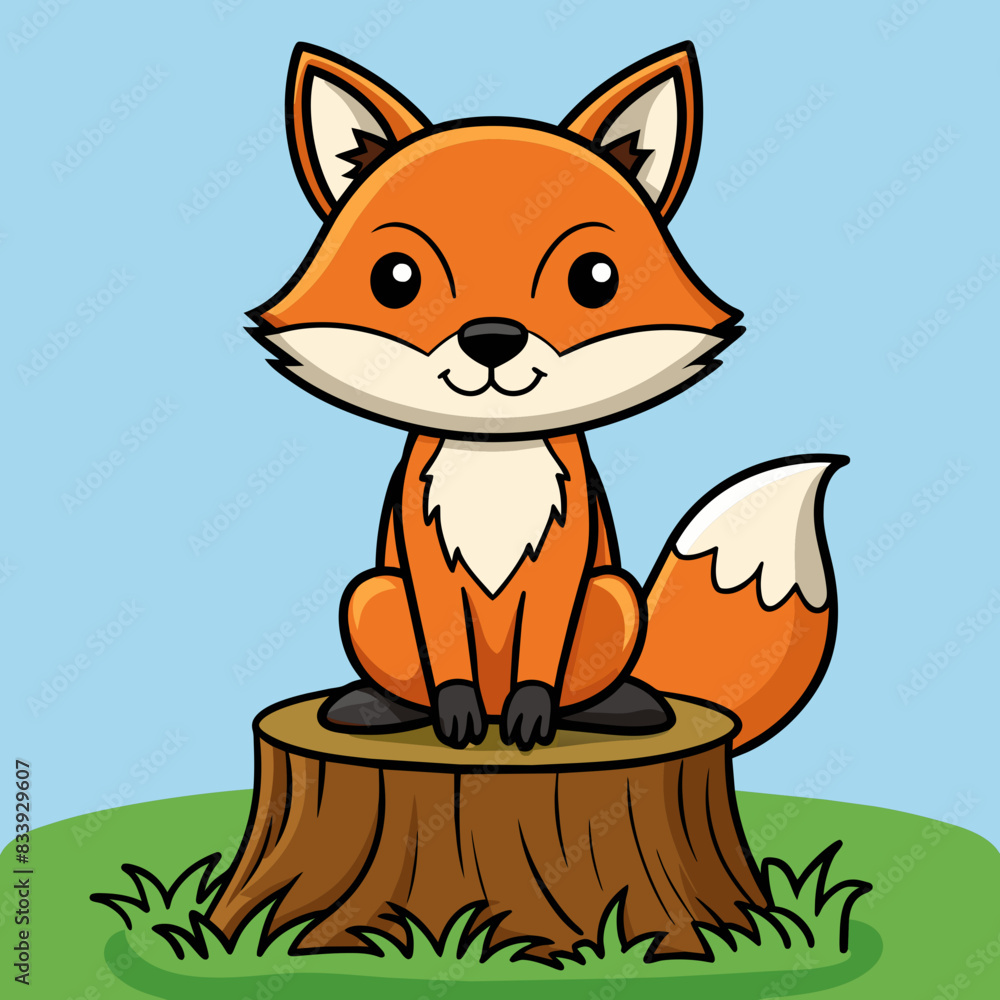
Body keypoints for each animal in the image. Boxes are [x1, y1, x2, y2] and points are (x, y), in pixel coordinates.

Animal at [249, 41, 848, 753]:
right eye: (395, 279)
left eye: (595, 278)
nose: (491, 339)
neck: (496, 455)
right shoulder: (423, 556)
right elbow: (447, 659)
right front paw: (456, 713)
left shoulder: (566, 556)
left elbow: (542, 653)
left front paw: (533, 712)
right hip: (373, 597)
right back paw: (377, 706)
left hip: (613, 595)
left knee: (587, 680)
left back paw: (619, 706)